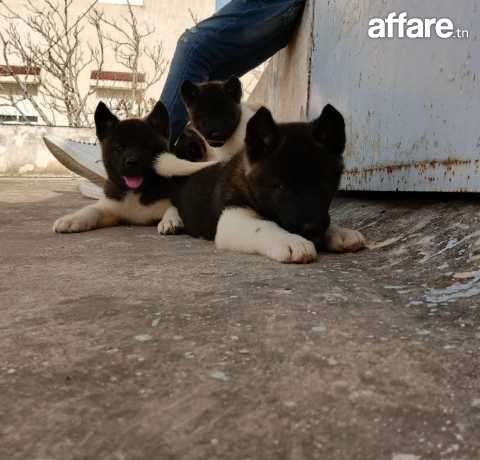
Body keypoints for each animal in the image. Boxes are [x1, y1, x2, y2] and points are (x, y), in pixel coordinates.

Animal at [156, 77, 366, 256]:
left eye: (324, 184)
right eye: (280, 187)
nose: (312, 229)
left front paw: (339, 232)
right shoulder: (231, 219)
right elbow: (264, 226)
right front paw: (290, 240)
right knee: (172, 204)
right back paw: (171, 220)